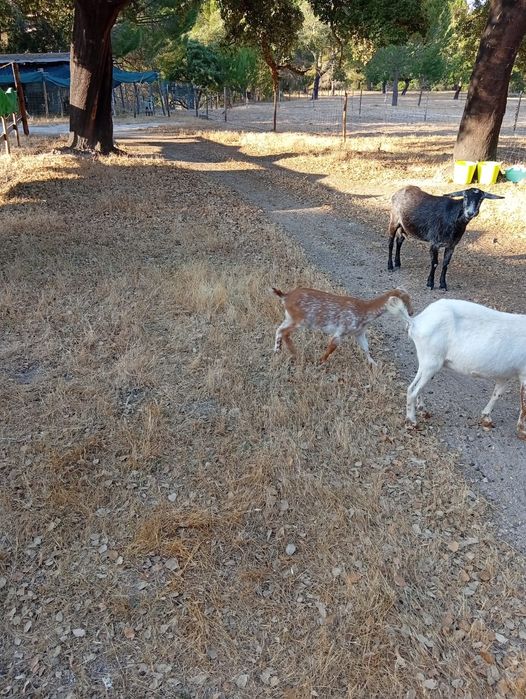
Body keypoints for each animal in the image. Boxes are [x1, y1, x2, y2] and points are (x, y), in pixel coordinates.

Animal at [272, 286, 413, 365]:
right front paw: (320, 362)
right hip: (300, 320)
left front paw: (374, 364)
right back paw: (295, 353)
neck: (365, 310)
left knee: (279, 330)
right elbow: (331, 348)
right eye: (406, 300)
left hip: (289, 318)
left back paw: (277, 350)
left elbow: (366, 348)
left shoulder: (359, 333)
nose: (411, 313)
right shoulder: (342, 330)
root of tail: (286, 296)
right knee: (285, 332)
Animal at [393, 298, 526, 440]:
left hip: (426, 361)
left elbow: (497, 394)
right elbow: (524, 403)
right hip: (432, 362)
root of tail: (417, 321)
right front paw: (522, 431)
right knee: (412, 390)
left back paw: (423, 411)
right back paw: (412, 422)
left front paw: (486, 417)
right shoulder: (524, 374)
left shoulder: (504, 375)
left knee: (416, 386)